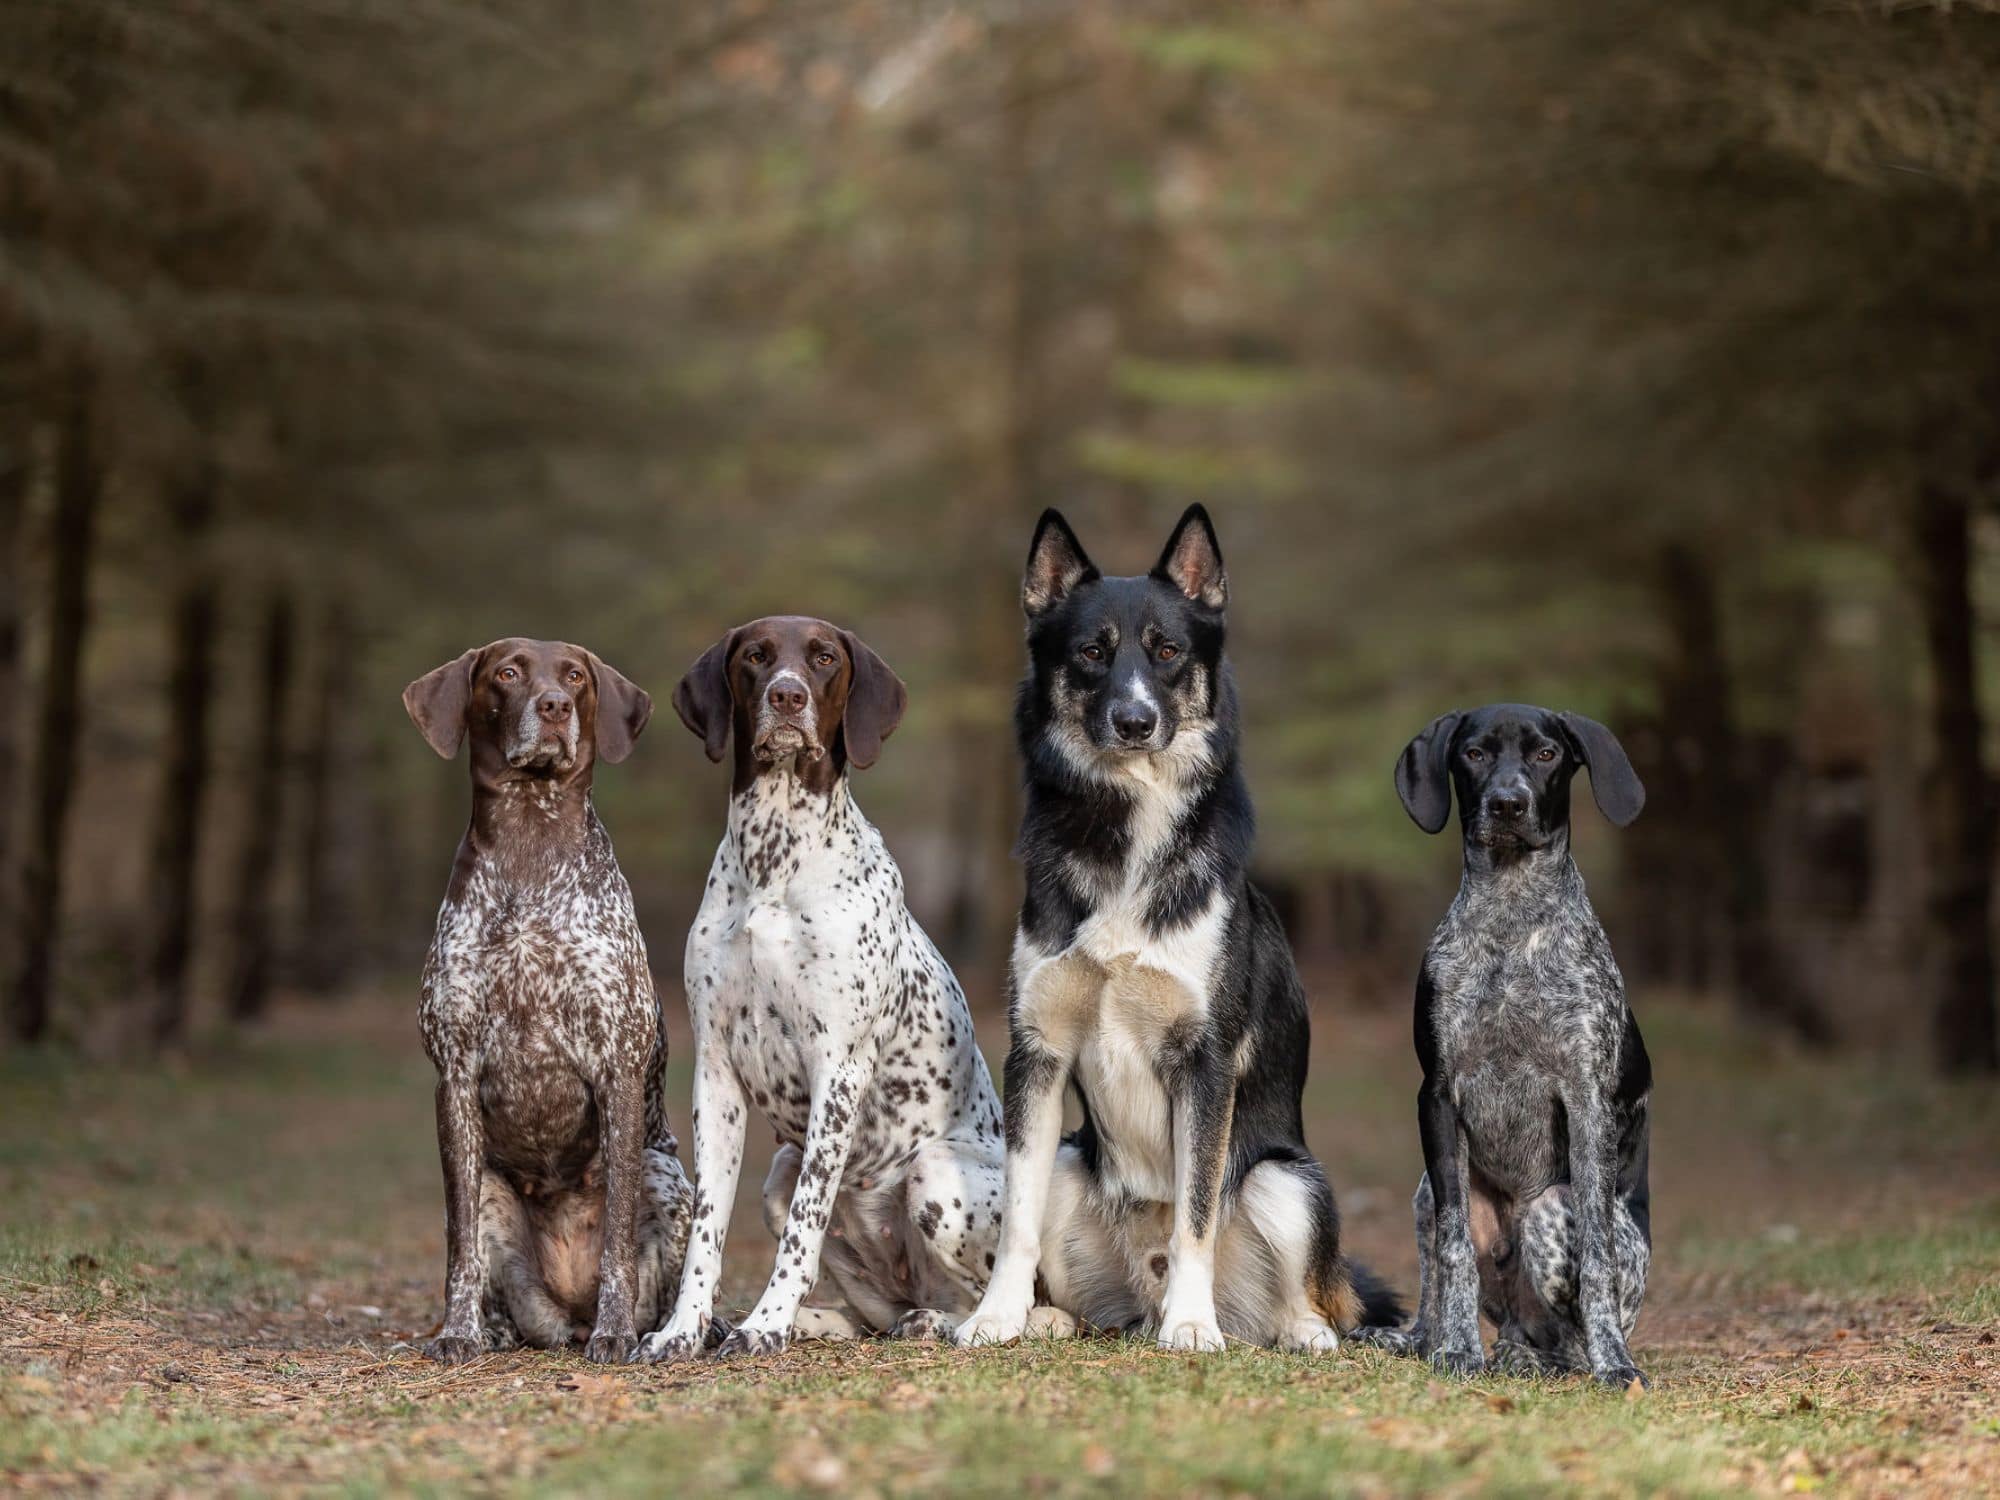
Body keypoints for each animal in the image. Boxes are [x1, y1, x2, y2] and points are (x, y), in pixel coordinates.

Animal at [398, 640, 696, 1368]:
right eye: (507, 672)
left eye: (576, 677)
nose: (555, 707)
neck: (530, 841)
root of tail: (569, 1315)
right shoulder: (455, 1075)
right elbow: (459, 1255)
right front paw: (458, 1333)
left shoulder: (618, 1070)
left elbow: (616, 1245)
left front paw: (618, 1335)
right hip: (490, 1191)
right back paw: (494, 1331)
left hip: (665, 1174)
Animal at [636, 616, 1016, 1368]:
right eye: (756, 656)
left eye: (823, 659)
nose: (786, 697)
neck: (775, 857)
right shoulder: (715, 1072)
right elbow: (705, 1228)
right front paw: (684, 1328)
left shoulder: (838, 1067)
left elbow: (805, 1226)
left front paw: (765, 1324)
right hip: (779, 1170)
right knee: (873, 1313)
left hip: (933, 1173)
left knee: (1016, 1306)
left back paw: (937, 1322)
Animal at [956, 512, 1400, 1360]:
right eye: (1092, 652)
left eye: (1167, 651)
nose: (1135, 721)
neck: (1129, 826)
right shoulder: (1036, 1052)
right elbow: (1015, 1220)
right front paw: (995, 1315)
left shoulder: (1205, 1062)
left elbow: (1195, 1210)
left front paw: (1191, 1325)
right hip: (1073, 1159)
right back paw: (1056, 1317)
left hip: (1287, 1179)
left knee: (1310, 1300)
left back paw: (1279, 1328)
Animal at [1360, 704, 1656, 1384]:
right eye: (1474, 754)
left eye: (1548, 755)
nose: (1507, 803)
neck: (1511, 917)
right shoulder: (1438, 1095)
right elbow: (1454, 1254)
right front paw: (1456, 1350)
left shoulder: (1587, 1100)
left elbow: (1597, 1257)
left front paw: (1614, 1364)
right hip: (1426, 1190)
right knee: (1447, 1286)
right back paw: (1429, 1342)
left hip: (1550, 1205)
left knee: (1561, 1339)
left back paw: (1559, 1358)